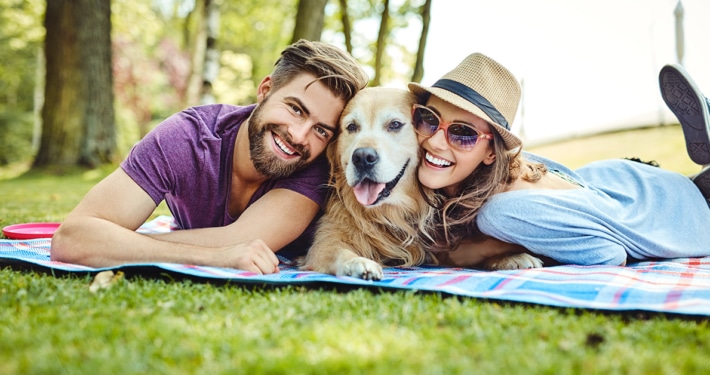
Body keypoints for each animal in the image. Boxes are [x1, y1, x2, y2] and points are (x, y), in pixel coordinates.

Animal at [302, 86, 544, 280]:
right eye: (351, 127)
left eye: (395, 124)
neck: (389, 214)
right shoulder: (325, 240)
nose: (362, 158)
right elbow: (337, 251)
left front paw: (509, 257)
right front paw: (357, 263)